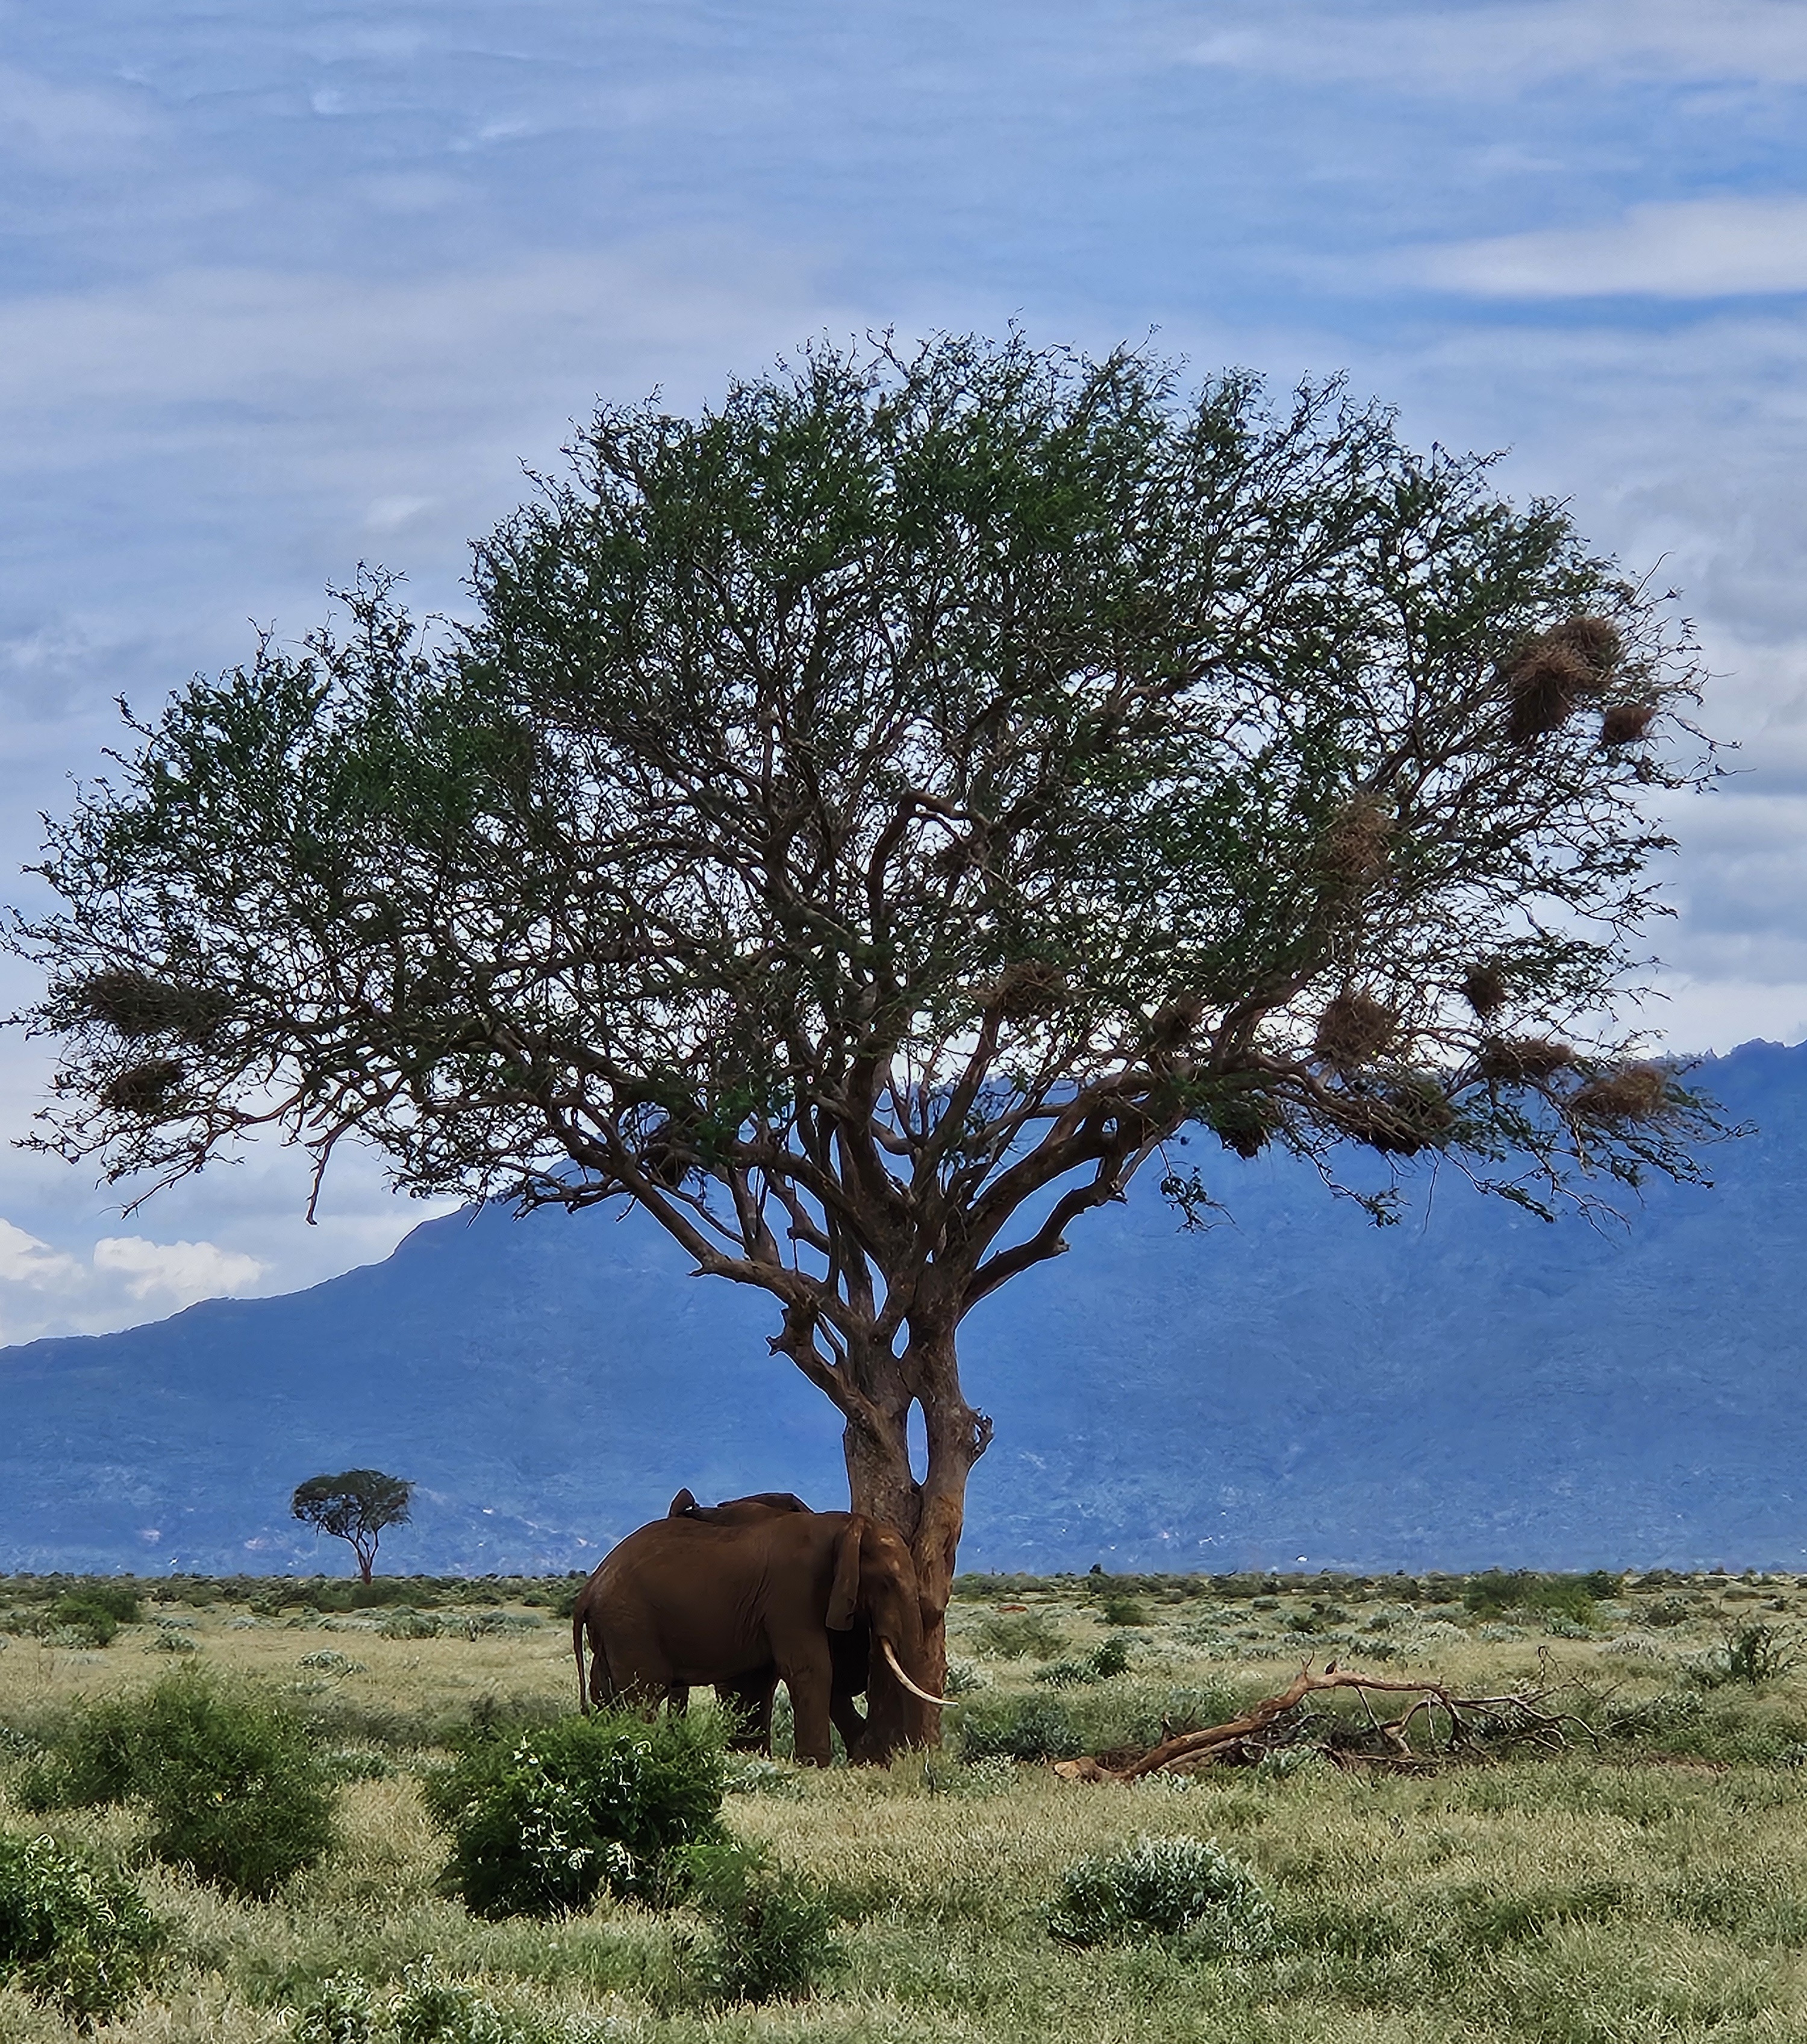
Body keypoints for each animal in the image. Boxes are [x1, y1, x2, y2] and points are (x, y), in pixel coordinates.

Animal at [571, 1506, 943, 1765]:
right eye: (888, 1583)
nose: (910, 1757)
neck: (843, 1526)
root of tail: (590, 1588)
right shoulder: (793, 1592)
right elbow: (811, 1667)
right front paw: (815, 1764)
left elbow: (758, 1679)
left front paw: (752, 1754)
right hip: (631, 1624)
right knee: (643, 1692)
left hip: (612, 1629)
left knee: (605, 1691)